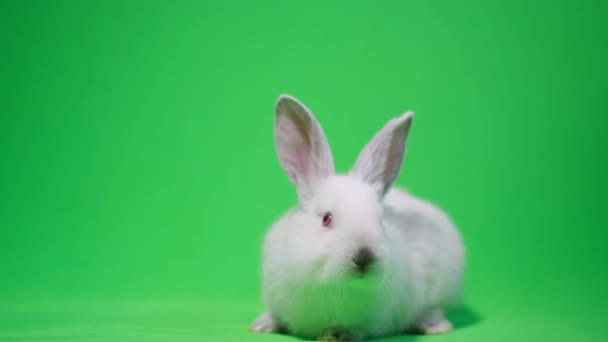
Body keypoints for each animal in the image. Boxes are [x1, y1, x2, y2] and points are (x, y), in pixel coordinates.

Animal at [252, 95, 466, 340]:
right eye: (326, 218)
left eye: (380, 220)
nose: (364, 257)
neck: (334, 288)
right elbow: (276, 315)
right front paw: (261, 325)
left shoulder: (372, 322)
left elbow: (356, 330)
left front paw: (338, 335)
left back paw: (435, 326)